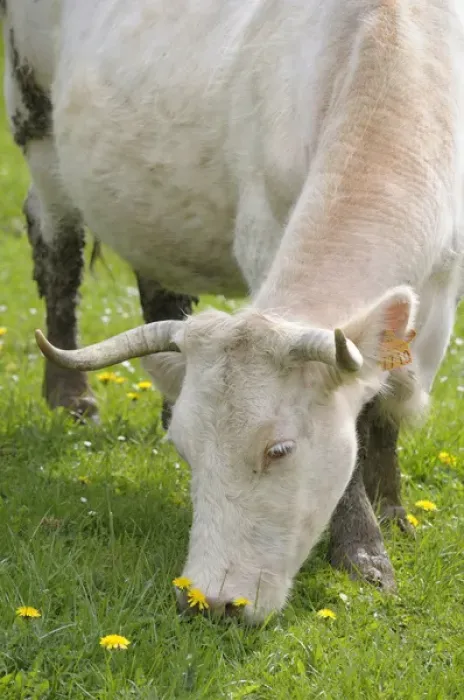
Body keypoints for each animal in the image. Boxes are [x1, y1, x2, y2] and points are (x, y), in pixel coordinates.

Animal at [3, 0, 463, 622]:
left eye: (279, 449)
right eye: (187, 453)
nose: (208, 600)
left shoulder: (440, 294)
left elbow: (386, 408)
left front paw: (391, 517)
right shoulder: (264, 232)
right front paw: (364, 551)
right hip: (36, 123)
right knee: (57, 251)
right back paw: (72, 397)